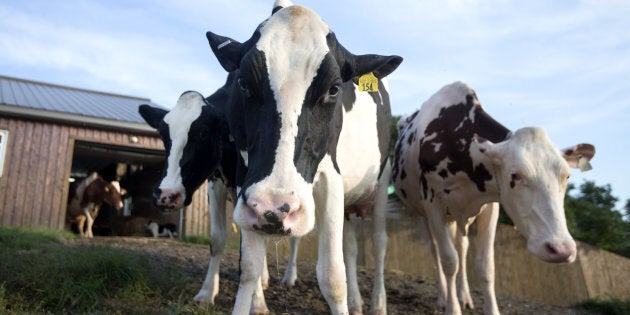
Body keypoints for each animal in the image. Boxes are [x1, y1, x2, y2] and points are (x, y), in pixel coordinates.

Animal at [140, 89, 302, 312]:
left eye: (202, 133)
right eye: (164, 136)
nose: (165, 195)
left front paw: (257, 304)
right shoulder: (215, 183)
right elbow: (217, 240)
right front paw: (207, 293)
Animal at [207, 1, 404, 314]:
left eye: (334, 89)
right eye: (243, 83)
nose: (273, 208)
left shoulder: (332, 178)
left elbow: (333, 276)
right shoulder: (245, 178)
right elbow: (249, 267)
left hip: (380, 183)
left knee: (379, 243)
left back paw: (378, 304)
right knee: (351, 247)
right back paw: (356, 301)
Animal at [396, 82, 596, 315]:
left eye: (567, 176)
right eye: (514, 175)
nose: (561, 250)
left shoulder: (491, 207)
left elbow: (485, 266)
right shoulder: (433, 204)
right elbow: (448, 261)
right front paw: (452, 307)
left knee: (462, 247)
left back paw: (464, 296)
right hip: (423, 215)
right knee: (435, 250)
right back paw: (443, 297)